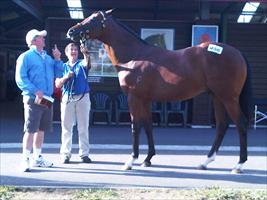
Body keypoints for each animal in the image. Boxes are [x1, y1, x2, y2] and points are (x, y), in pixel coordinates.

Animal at [67, 10, 253, 173]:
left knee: (241, 124)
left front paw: (131, 160)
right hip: (217, 97)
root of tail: (237, 52)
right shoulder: (146, 100)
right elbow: (148, 126)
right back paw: (205, 162)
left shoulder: (134, 98)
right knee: (222, 125)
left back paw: (239, 165)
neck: (134, 56)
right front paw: (148, 159)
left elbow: (136, 126)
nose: (71, 31)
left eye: (93, 19)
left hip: (228, 98)